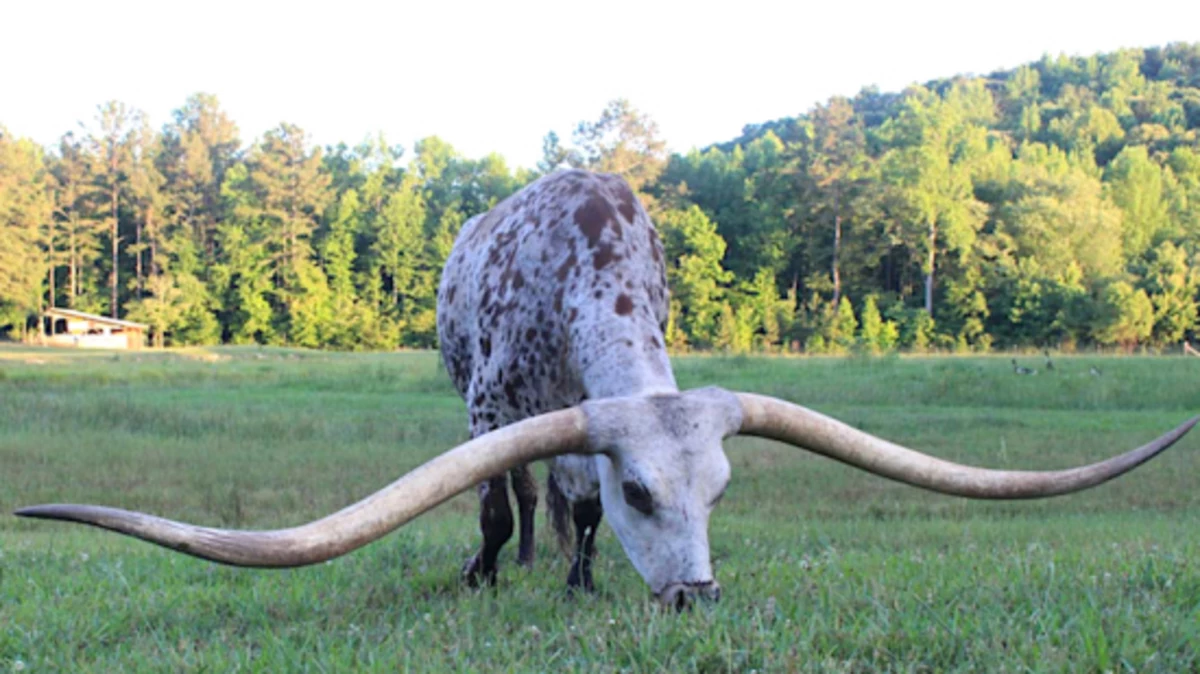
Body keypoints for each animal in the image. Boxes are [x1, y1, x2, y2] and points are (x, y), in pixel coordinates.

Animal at [16, 167, 1190, 609]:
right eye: (645, 492)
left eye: (720, 494)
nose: (695, 595)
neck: (590, 262)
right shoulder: (494, 406)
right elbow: (501, 499)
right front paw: (485, 570)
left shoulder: (581, 419)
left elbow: (572, 502)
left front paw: (581, 576)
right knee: (519, 492)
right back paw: (512, 561)